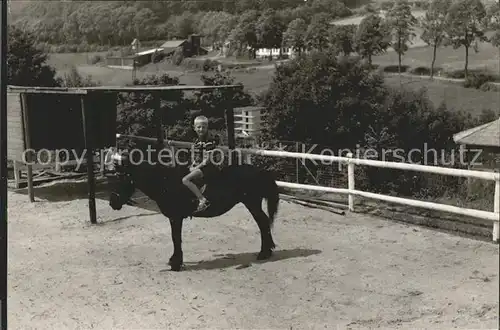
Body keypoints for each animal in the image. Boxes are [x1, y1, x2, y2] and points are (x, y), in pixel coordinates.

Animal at [104, 147, 280, 270]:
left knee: (263, 222)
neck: (165, 182)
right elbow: (176, 238)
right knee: (264, 222)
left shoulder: (175, 217)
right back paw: (267, 250)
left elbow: (176, 238)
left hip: (252, 202)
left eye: (122, 179)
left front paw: (175, 263)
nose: (112, 202)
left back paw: (264, 253)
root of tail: (259, 170)